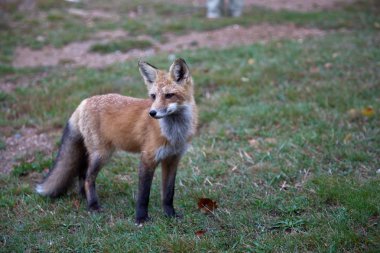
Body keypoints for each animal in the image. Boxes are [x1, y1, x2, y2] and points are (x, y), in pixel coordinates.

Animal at [36, 58, 199, 223]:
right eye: (153, 96)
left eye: (169, 95)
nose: (152, 113)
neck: (174, 133)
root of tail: (84, 102)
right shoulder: (148, 158)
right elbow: (143, 194)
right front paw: (141, 219)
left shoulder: (172, 159)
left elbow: (168, 193)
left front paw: (170, 215)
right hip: (101, 154)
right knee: (88, 178)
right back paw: (93, 206)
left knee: (82, 174)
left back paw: (84, 198)